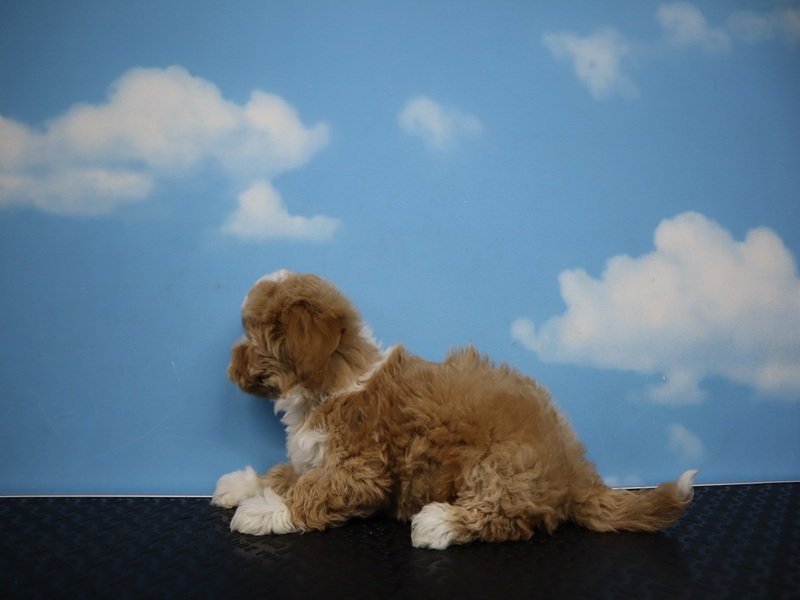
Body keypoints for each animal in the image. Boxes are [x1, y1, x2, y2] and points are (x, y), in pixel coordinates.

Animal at [212, 270, 697, 549]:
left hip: (502, 466)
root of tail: (577, 472)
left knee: (510, 518)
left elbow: (311, 490)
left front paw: (262, 511)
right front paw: (244, 484)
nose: (229, 366)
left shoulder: (360, 470)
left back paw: (440, 522)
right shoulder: (317, 456)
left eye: (251, 338)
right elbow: (287, 472)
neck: (332, 384)